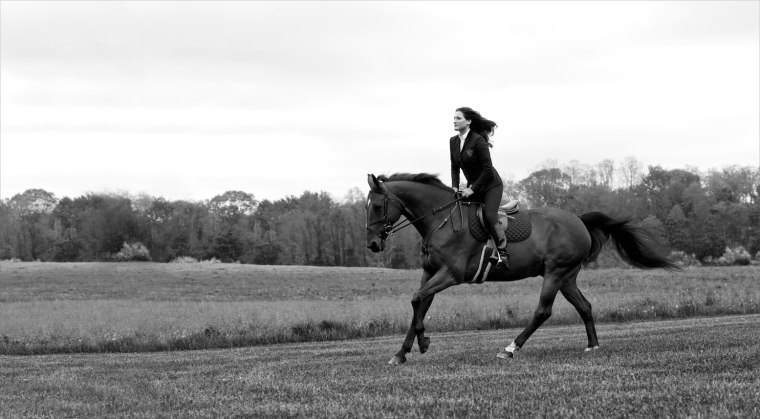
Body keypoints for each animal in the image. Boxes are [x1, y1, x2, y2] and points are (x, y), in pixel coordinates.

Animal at [366, 172, 680, 366]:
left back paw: (510, 349)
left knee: (543, 311)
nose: (372, 244)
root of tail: (578, 220)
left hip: (555, 272)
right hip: (566, 277)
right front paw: (403, 352)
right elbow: (419, 305)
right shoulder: (430, 273)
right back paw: (592, 345)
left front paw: (423, 342)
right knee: (585, 306)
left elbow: (417, 300)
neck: (441, 221)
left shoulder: (451, 275)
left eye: (378, 206)